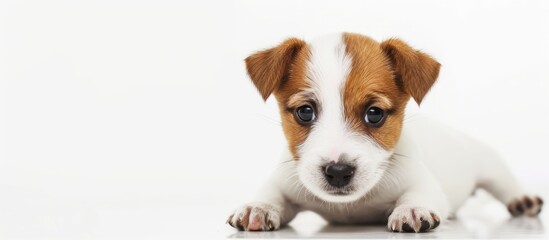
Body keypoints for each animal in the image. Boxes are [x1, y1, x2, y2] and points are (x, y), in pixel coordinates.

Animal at [225, 32, 540, 232]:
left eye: (374, 114)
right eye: (305, 112)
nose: (338, 172)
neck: (352, 206)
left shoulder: (423, 183)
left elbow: (417, 195)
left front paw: (411, 209)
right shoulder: (286, 181)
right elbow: (270, 193)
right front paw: (257, 207)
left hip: (489, 163)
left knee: (505, 183)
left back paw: (522, 200)